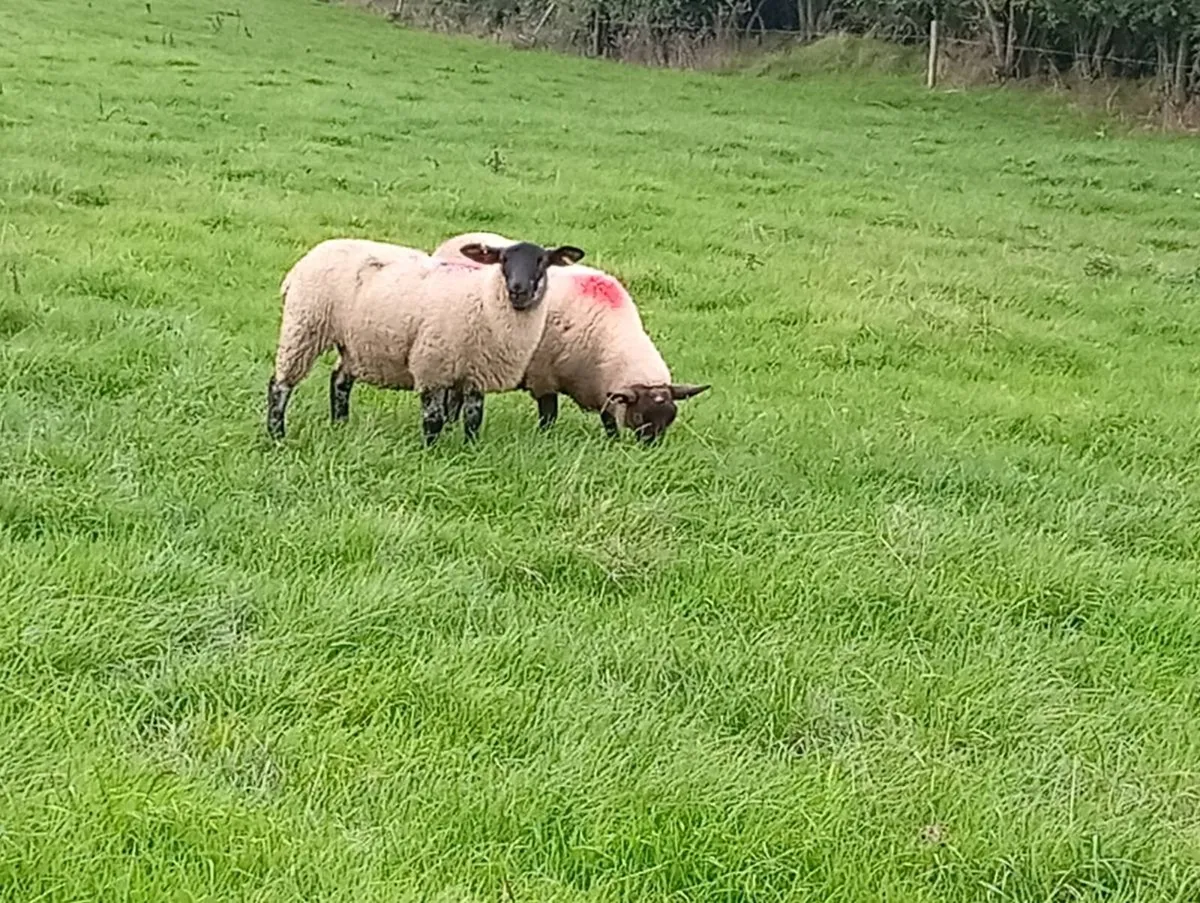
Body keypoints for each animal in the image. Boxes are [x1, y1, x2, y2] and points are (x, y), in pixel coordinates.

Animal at [267, 236, 585, 446]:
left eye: (542, 262)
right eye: (503, 260)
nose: (518, 289)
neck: (483, 299)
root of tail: (305, 260)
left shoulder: (478, 371)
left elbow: (473, 417)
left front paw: (470, 449)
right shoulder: (433, 363)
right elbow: (434, 418)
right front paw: (431, 451)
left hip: (353, 340)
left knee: (340, 382)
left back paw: (340, 425)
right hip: (303, 326)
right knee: (280, 384)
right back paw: (277, 435)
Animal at [432, 231, 709, 444]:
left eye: (671, 417)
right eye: (640, 416)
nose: (650, 450)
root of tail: (458, 239)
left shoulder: (602, 386)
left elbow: (609, 421)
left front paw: (613, 444)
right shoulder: (543, 376)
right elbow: (549, 416)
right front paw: (544, 440)